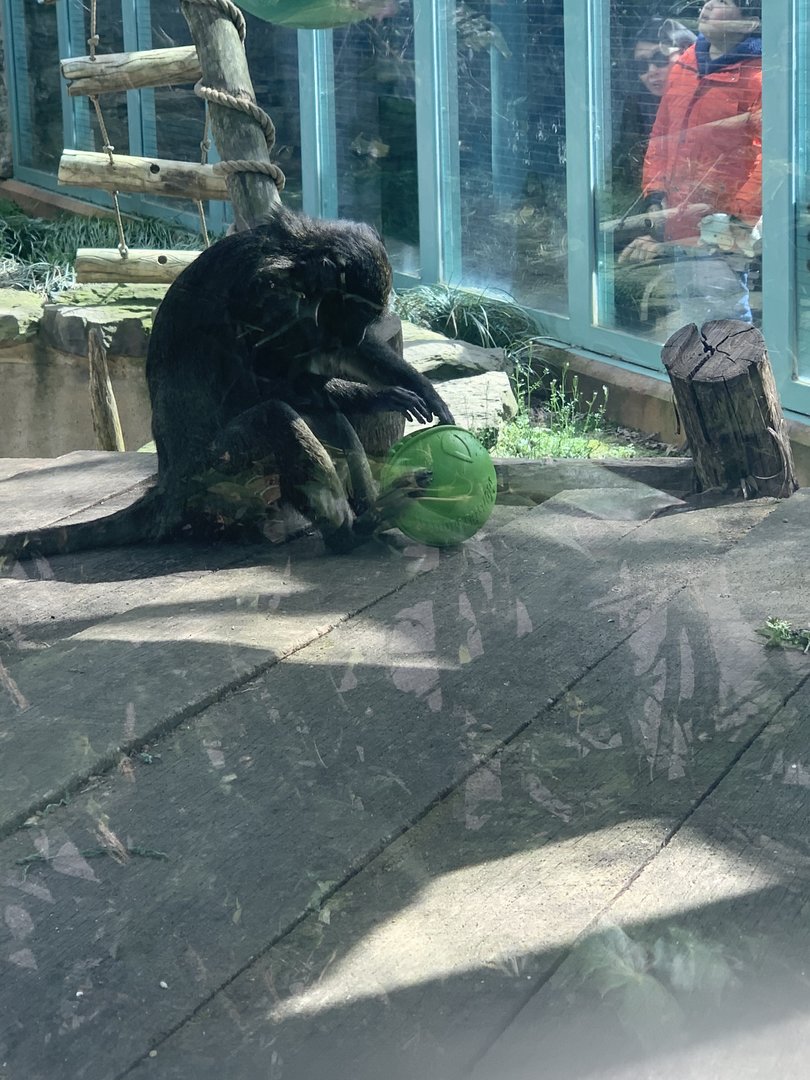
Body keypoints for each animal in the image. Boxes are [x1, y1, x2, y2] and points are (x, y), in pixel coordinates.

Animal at [0, 206, 454, 562]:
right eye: (359, 311)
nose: (359, 332)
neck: (296, 257)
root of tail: (167, 486)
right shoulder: (270, 299)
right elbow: (267, 383)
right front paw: (378, 395)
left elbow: (331, 360)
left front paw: (414, 385)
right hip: (219, 473)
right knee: (276, 416)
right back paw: (351, 532)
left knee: (325, 418)